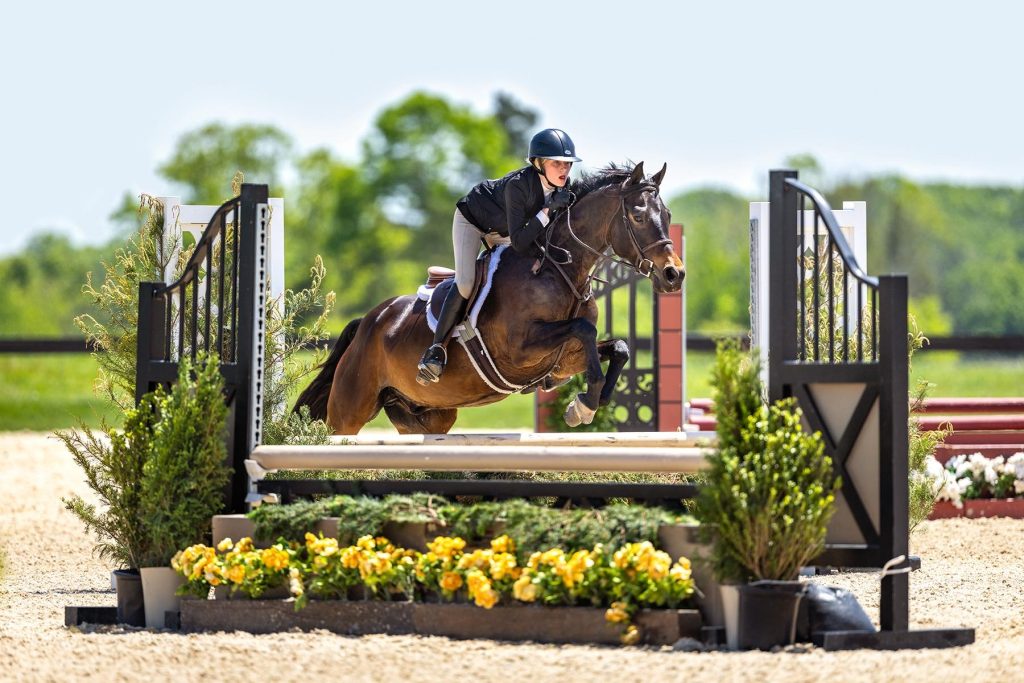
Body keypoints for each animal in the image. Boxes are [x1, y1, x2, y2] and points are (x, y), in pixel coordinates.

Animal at [294, 161, 685, 435]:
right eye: (637, 216)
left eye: (667, 215)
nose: (674, 275)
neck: (558, 270)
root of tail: (370, 321)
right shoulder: (519, 351)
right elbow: (583, 330)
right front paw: (586, 403)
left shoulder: (565, 357)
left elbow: (617, 347)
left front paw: (586, 403)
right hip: (349, 410)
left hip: (425, 414)